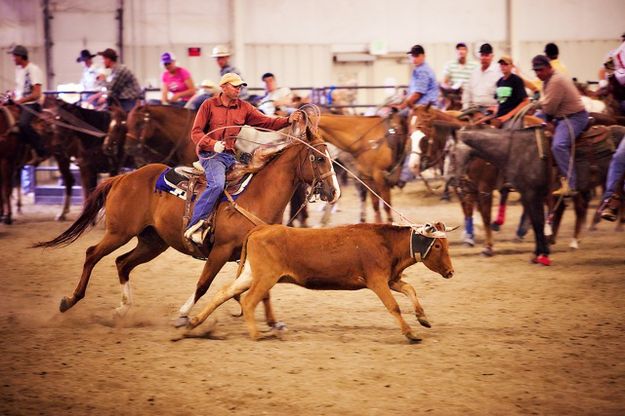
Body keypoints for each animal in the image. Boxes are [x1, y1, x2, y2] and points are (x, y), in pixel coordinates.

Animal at [33, 118, 342, 324]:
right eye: (318, 158)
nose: (334, 192)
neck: (257, 196)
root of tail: (123, 177)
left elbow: (260, 287)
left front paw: (268, 320)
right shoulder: (219, 251)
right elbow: (203, 283)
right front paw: (183, 314)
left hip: (152, 241)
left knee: (122, 263)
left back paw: (122, 309)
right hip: (119, 232)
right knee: (91, 254)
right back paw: (69, 301)